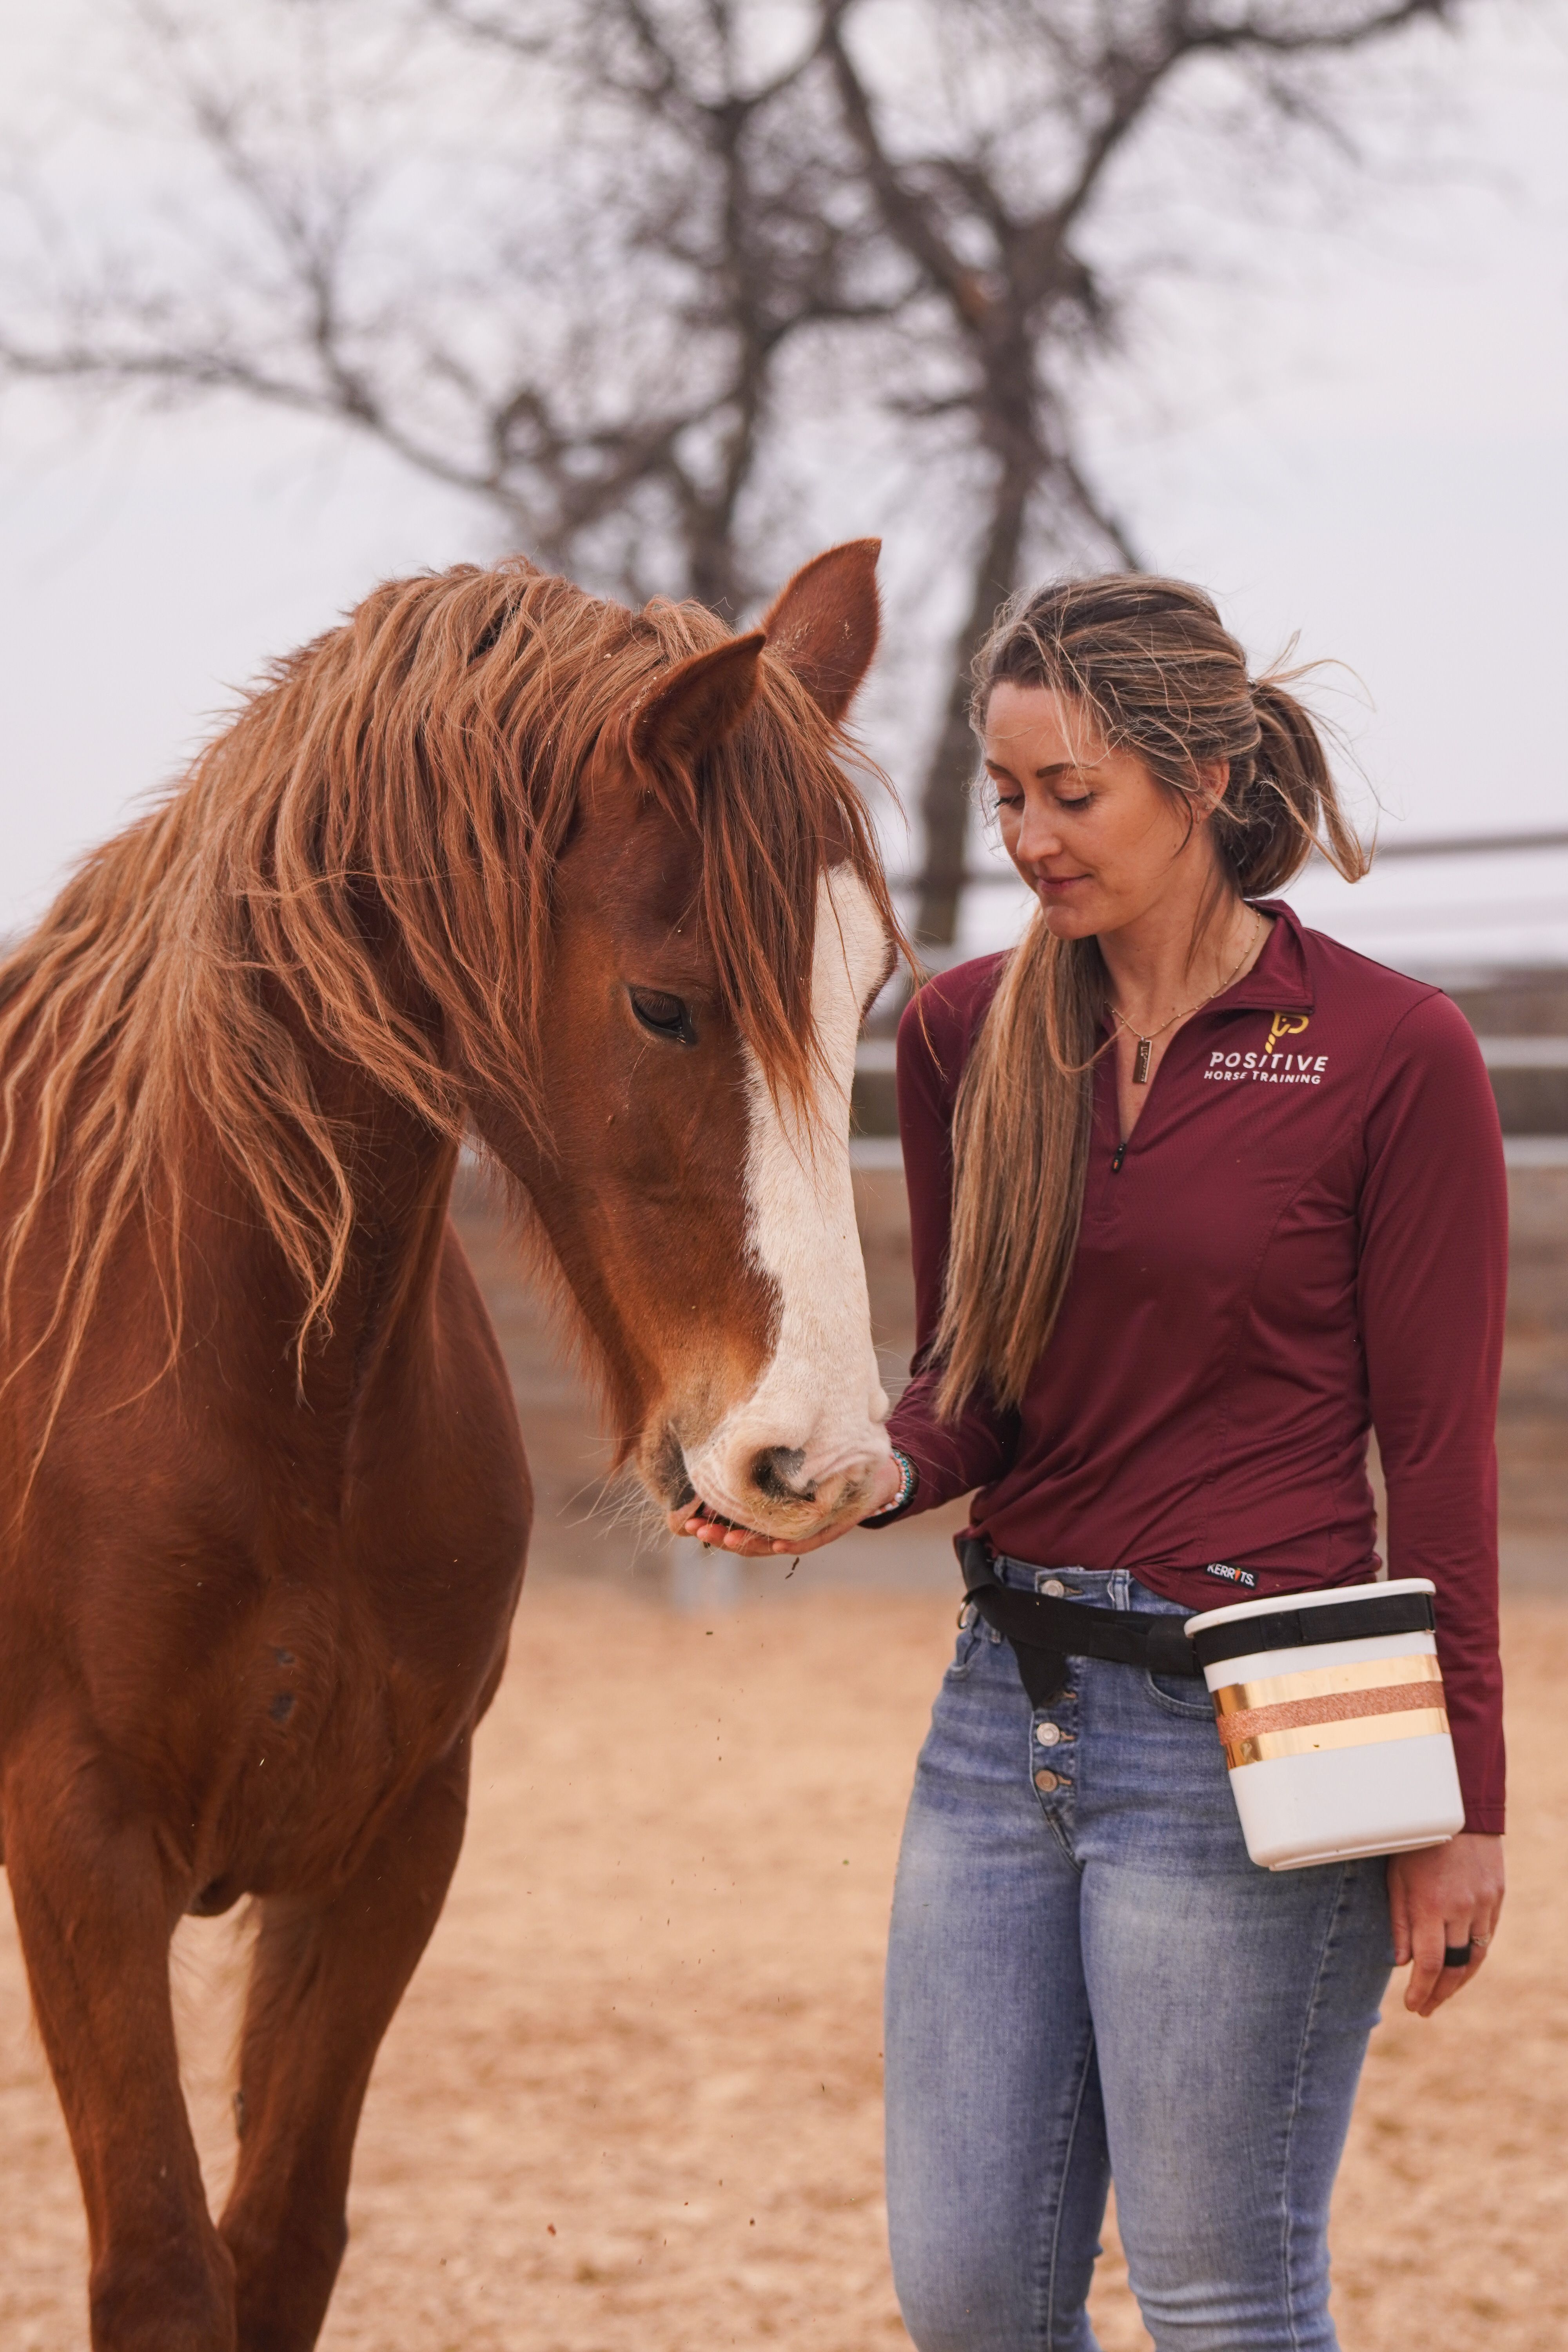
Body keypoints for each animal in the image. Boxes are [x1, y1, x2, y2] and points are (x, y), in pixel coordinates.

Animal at [0, 538, 898, 2351]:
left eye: (868, 992)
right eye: (662, 1006)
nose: (820, 1465)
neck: (275, 1397)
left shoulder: (387, 1845)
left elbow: (277, 2249)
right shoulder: (79, 1845)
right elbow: (162, 2267)